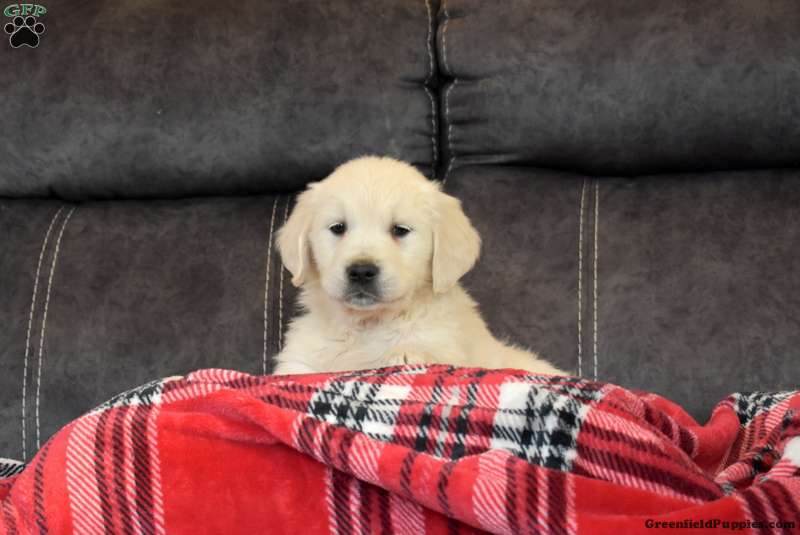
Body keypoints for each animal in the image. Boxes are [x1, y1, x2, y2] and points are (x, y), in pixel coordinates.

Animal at [272, 156, 566, 376]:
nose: (361, 272)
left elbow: (416, 353)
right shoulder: (299, 361)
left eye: (400, 230)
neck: (369, 325)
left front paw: (401, 355)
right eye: (338, 228)